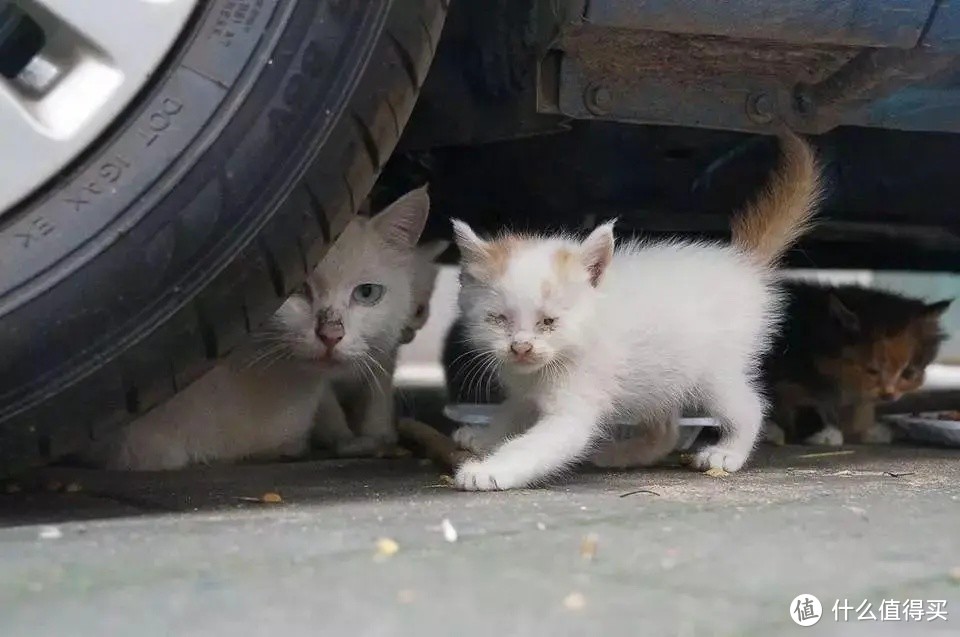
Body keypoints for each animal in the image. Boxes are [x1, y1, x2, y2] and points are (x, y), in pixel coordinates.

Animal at [446, 132, 820, 490]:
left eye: (549, 322)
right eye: (499, 320)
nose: (520, 348)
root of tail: (742, 263)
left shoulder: (574, 405)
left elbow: (532, 446)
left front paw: (489, 471)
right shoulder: (526, 387)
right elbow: (512, 410)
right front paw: (483, 436)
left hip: (714, 371)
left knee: (750, 407)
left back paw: (727, 453)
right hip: (663, 374)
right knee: (667, 431)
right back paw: (622, 454)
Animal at [760, 284, 948, 448]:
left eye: (908, 373)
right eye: (872, 370)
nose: (888, 395)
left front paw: (865, 429)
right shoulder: (788, 377)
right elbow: (803, 401)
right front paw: (823, 433)